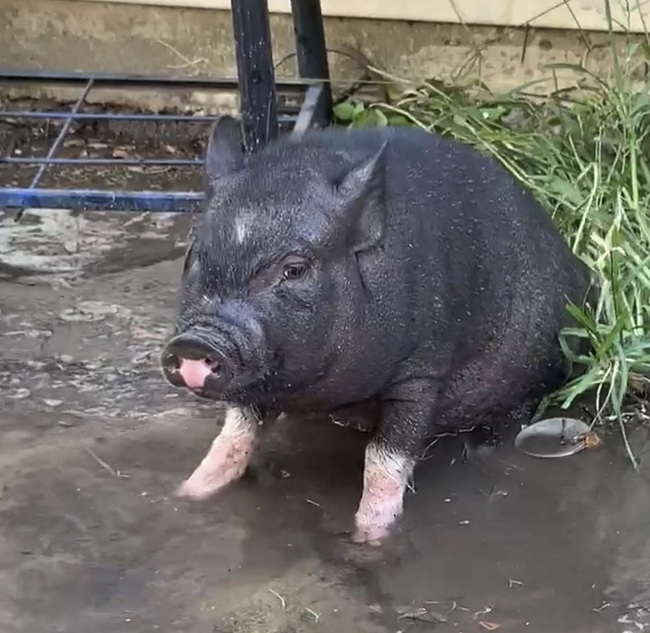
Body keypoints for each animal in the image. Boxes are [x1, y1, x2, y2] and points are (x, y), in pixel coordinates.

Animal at [159, 117, 588, 544]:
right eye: (195, 254)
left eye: (294, 269)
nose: (195, 341)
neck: (324, 396)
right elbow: (233, 436)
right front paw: (184, 496)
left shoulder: (421, 370)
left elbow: (384, 459)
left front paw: (366, 540)